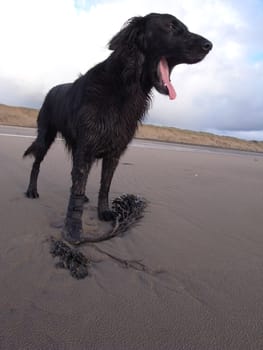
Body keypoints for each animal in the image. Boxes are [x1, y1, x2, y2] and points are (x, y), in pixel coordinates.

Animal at [23, 13, 212, 243]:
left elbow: (104, 185)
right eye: (170, 26)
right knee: (37, 164)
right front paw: (73, 229)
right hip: (45, 137)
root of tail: (51, 90)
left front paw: (104, 212)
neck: (124, 86)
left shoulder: (113, 152)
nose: (209, 45)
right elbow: (77, 190)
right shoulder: (86, 148)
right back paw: (32, 190)